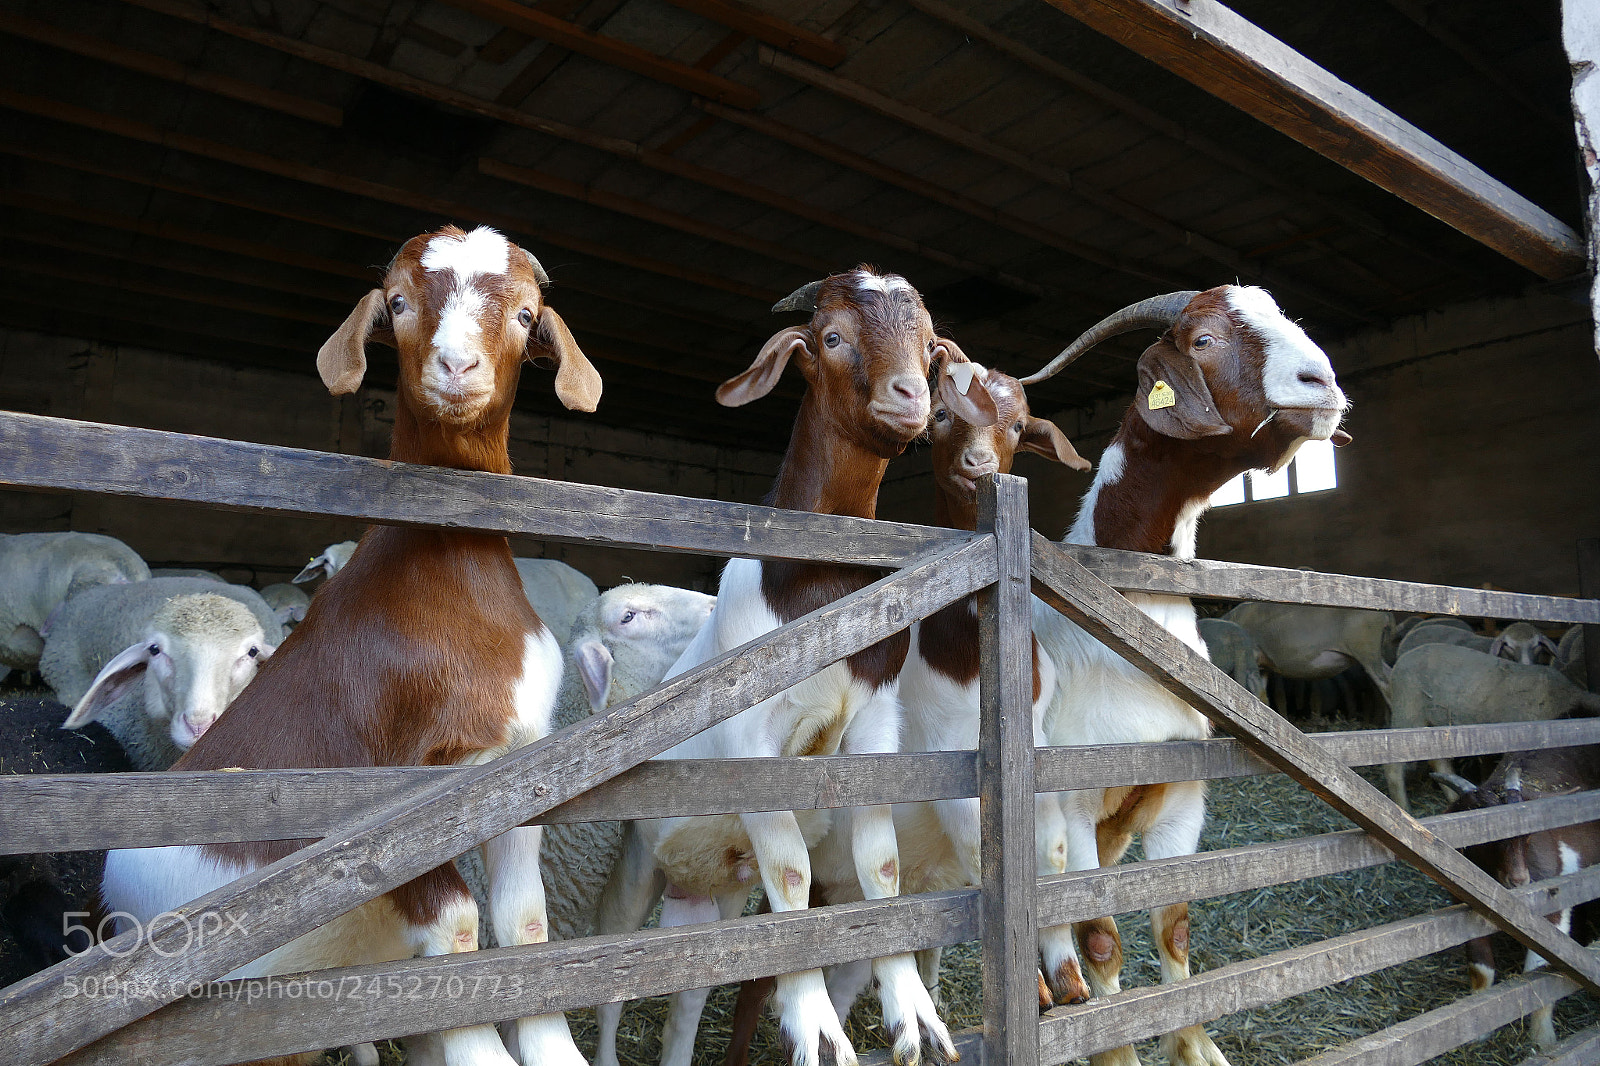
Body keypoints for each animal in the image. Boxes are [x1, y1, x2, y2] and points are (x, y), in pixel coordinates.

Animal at [101, 224, 602, 1066]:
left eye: (527, 314)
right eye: (397, 302)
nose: (457, 366)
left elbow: (524, 923)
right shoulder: (391, 800)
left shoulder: (516, 770)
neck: (454, 583)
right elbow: (456, 929)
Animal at [593, 269, 996, 1066]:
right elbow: (792, 873)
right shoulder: (755, 743)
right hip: (638, 863)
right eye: (832, 335)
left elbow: (878, 863)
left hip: (716, 887)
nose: (910, 396)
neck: (812, 583)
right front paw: (815, 1022)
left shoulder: (872, 724)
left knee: (691, 987)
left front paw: (910, 1012)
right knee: (615, 972)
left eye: (932, 347)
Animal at [1022, 286, 1350, 1066]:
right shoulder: (1072, 805)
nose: (1321, 383)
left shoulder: (1181, 795)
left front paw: (1197, 1049)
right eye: (1202, 340)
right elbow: (1101, 939)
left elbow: (1172, 927)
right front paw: (1114, 1052)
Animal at [1437, 741, 1600, 1050]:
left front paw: (1543, 1039)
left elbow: (1538, 974)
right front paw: (1479, 1029)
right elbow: (1481, 968)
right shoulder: (1464, 908)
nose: (1520, 880)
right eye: (1483, 838)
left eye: (1527, 835)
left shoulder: (1553, 903)